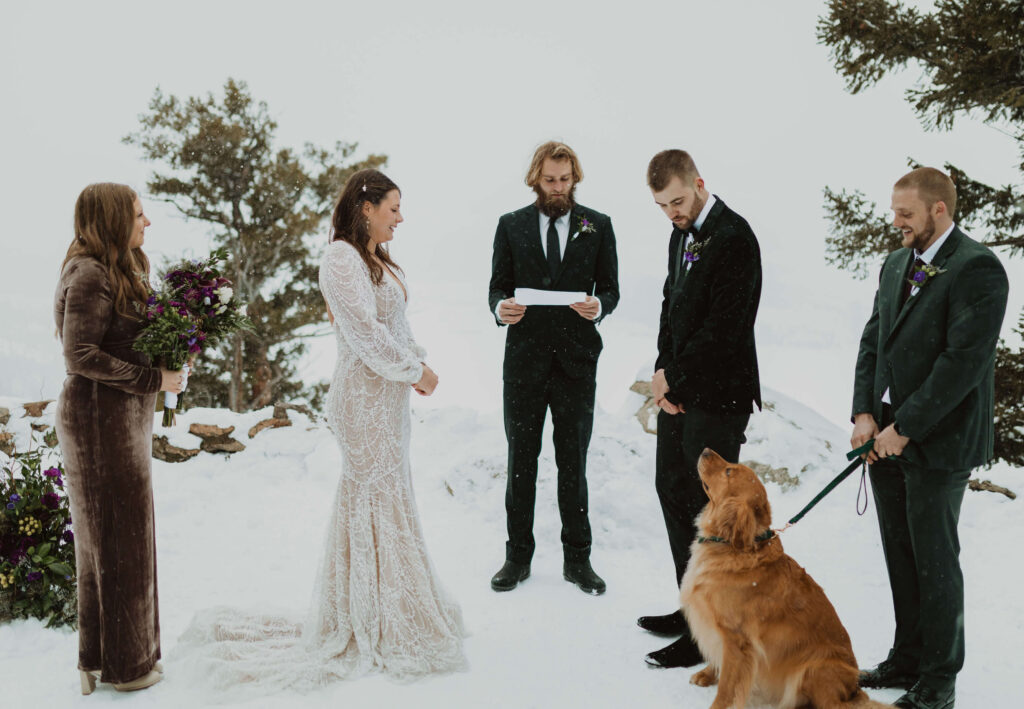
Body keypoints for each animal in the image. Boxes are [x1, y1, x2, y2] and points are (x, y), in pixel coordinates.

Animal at [679, 448, 888, 709]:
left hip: (814, 668)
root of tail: (853, 689)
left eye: (728, 471)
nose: (706, 450)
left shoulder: (737, 639)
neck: (734, 546)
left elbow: (728, 686)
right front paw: (707, 674)